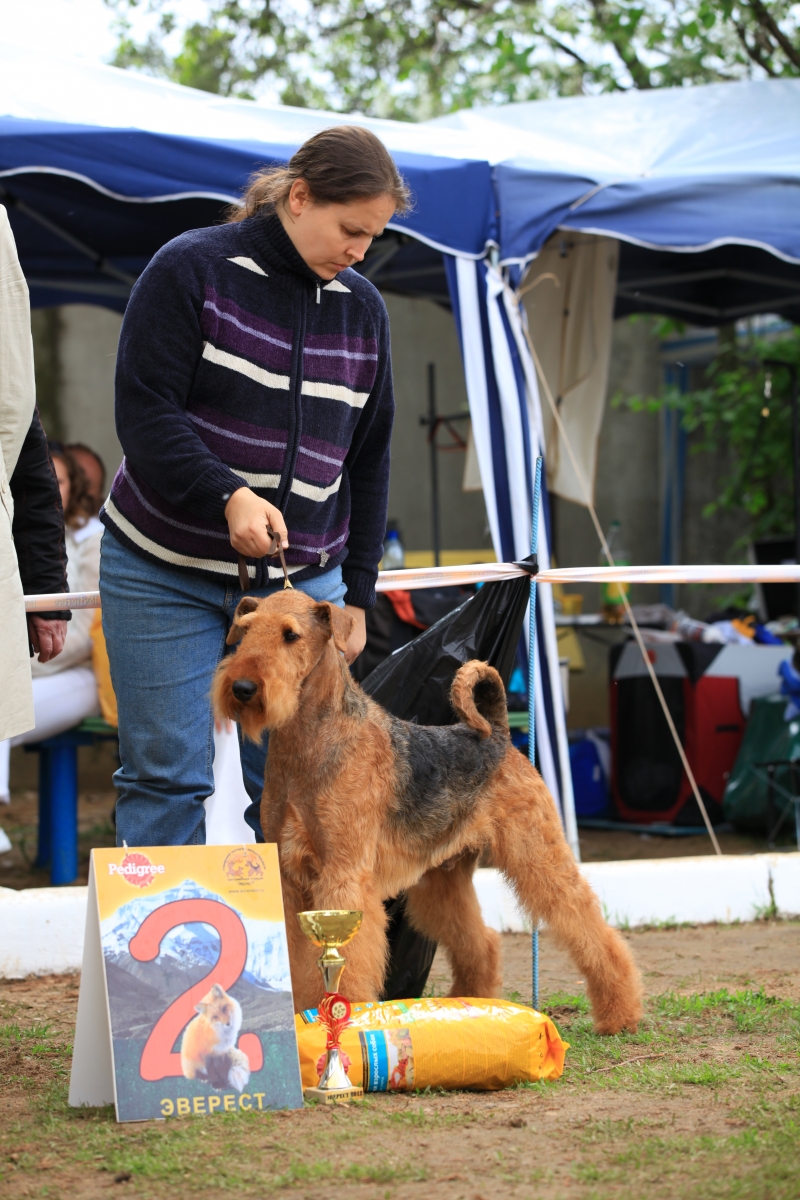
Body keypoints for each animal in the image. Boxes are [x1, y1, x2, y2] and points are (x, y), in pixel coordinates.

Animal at [214, 588, 642, 1032]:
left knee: (590, 926)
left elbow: (349, 962)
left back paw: (620, 1015)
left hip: (537, 854)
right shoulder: (290, 876)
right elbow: (297, 958)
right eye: (245, 631)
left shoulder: (343, 875)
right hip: (443, 879)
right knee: (481, 942)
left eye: (290, 635)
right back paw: (468, 1003)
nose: (242, 687)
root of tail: (498, 735)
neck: (311, 742)